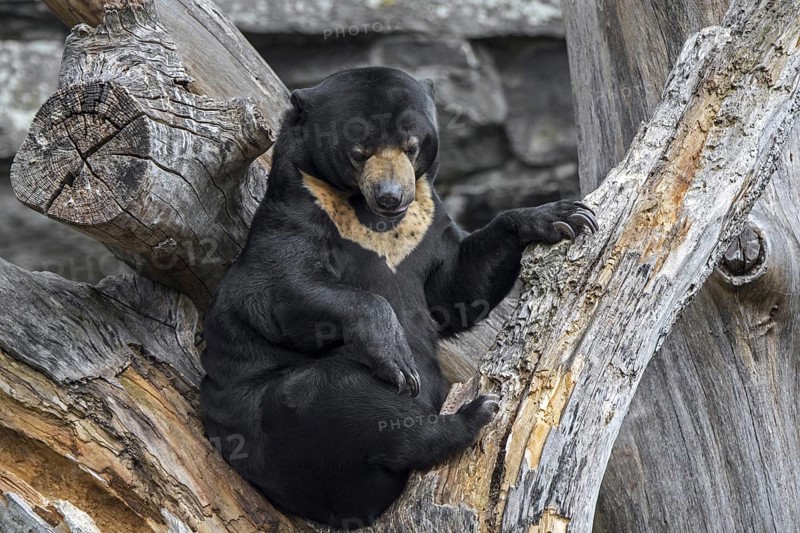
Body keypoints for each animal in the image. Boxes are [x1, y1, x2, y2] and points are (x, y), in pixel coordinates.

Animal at [200, 66, 597, 529]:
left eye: (412, 145)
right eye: (359, 152)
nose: (391, 197)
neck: (371, 220)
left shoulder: (425, 224)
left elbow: (455, 290)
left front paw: (562, 216)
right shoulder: (299, 212)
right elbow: (281, 288)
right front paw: (396, 354)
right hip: (270, 422)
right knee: (340, 399)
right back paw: (472, 414)